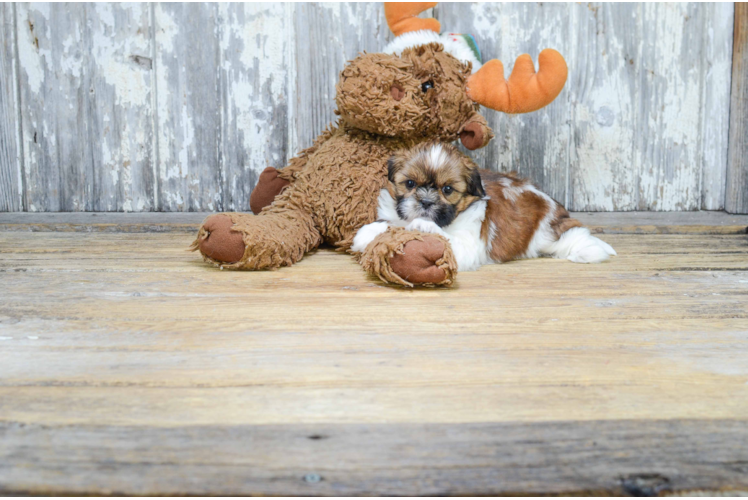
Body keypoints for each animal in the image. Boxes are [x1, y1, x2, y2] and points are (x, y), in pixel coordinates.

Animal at [354, 143, 616, 272]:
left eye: (447, 190)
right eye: (409, 184)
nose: (426, 202)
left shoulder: (469, 242)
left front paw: (423, 225)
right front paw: (369, 232)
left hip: (555, 236)